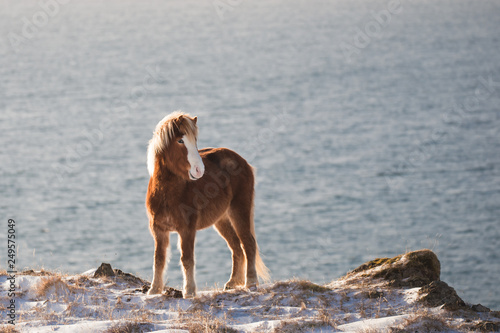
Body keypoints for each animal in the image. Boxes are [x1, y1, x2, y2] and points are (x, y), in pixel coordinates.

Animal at [145, 110, 270, 296]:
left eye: (195, 140)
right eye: (180, 140)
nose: (199, 170)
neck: (168, 193)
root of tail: (243, 161)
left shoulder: (187, 229)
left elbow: (187, 259)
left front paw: (189, 291)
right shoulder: (158, 230)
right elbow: (159, 259)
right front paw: (153, 290)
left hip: (239, 211)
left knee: (248, 243)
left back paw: (250, 283)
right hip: (222, 219)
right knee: (236, 247)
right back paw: (233, 283)